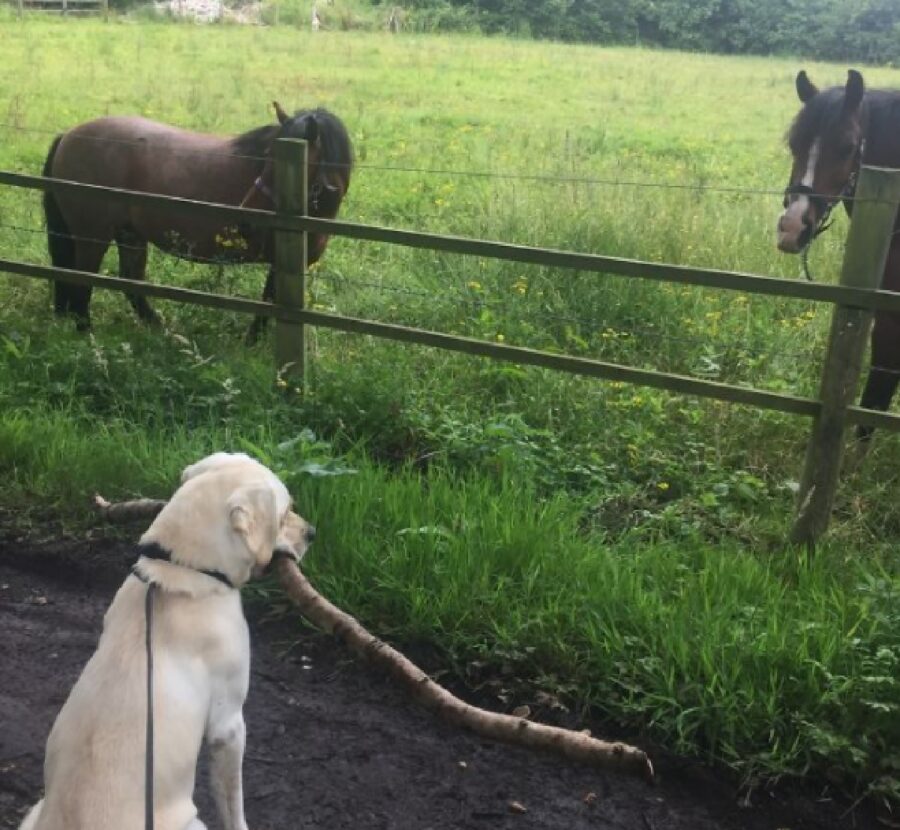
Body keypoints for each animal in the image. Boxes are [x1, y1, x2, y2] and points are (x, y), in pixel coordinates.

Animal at [19, 456, 314, 830]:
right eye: (286, 512)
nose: (312, 533)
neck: (182, 572)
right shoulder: (228, 723)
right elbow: (233, 805)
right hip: (192, 821)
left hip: (35, 810)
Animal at [43, 103, 352, 342]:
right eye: (266, 157)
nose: (245, 221)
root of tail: (68, 135)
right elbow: (268, 306)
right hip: (92, 238)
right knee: (82, 284)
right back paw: (87, 335)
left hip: (129, 235)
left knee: (130, 284)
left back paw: (163, 331)